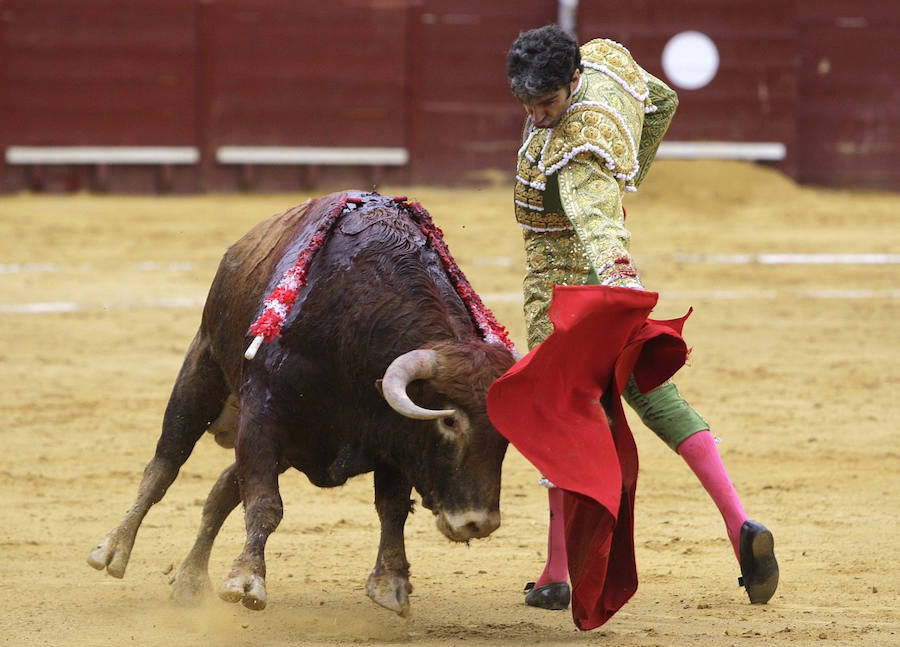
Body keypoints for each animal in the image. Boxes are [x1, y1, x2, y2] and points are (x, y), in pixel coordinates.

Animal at [90, 190, 516, 616]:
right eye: (449, 421)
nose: (479, 524)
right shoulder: (261, 420)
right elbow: (265, 503)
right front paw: (246, 580)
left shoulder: (395, 437)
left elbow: (392, 507)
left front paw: (390, 583)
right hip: (202, 369)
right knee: (164, 465)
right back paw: (113, 550)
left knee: (222, 489)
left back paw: (190, 580)